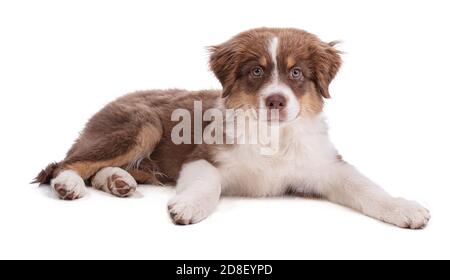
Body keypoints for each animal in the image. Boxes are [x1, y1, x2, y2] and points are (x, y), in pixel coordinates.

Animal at [34, 27, 428, 229]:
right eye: (256, 71)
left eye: (296, 73)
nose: (276, 101)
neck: (272, 138)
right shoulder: (203, 156)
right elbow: (207, 182)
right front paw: (189, 206)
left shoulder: (325, 166)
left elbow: (366, 187)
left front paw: (404, 208)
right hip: (140, 124)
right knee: (68, 163)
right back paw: (69, 185)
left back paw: (118, 181)